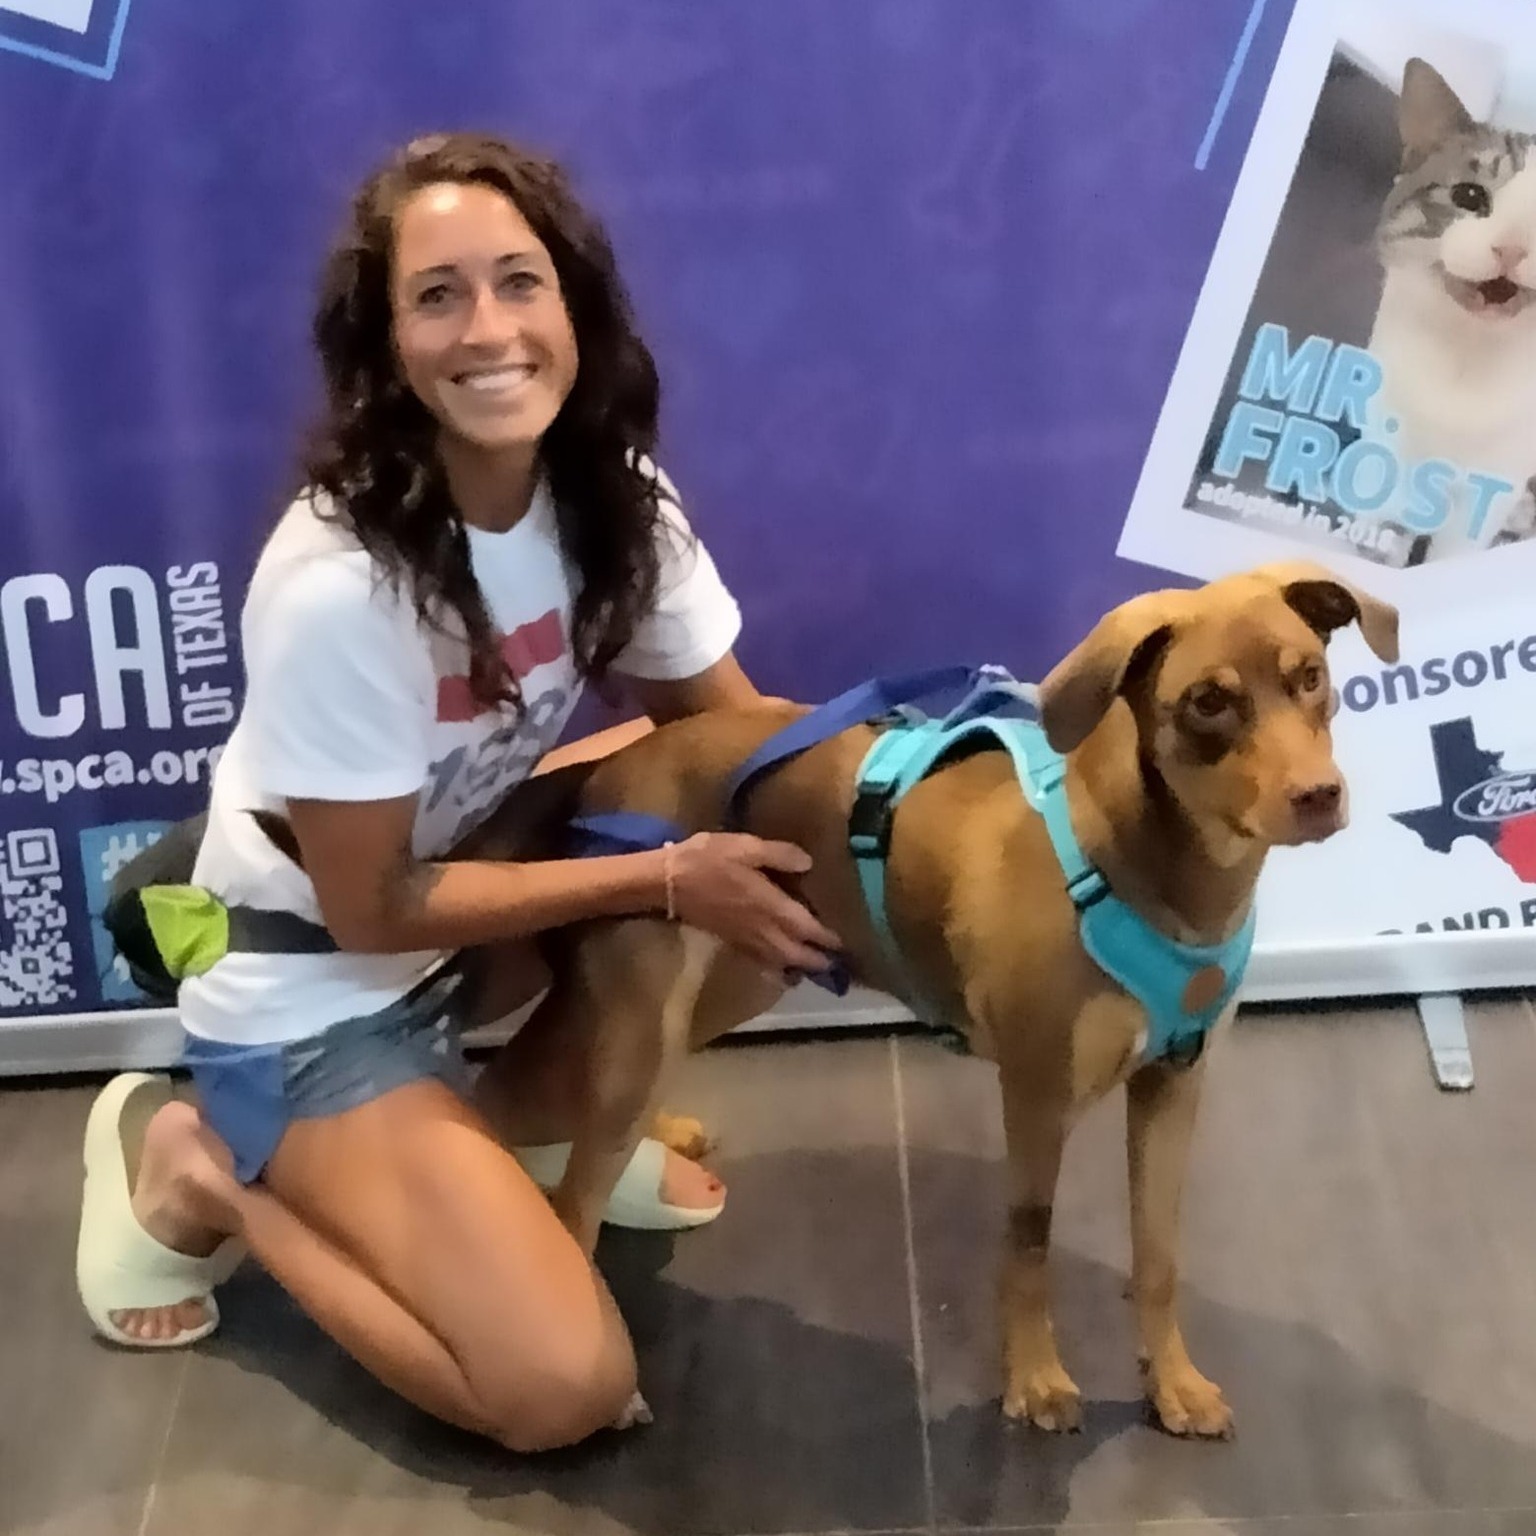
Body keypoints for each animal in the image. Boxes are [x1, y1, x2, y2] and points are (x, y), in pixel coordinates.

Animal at [463, 565, 1394, 1437]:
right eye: (1207, 702)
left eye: (1310, 676)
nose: (1319, 796)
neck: (1158, 874)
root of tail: (602, 770)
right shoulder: (1037, 1092)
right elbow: (1029, 1241)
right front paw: (1036, 1379)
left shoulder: (1175, 1085)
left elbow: (1160, 1256)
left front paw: (1174, 1384)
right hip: (640, 1016)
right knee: (557, 1174)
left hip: (734, 976)